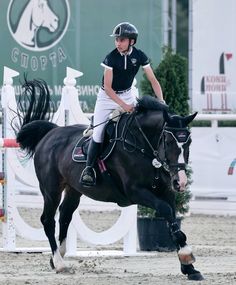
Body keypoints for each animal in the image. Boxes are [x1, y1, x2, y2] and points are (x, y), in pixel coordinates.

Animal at [15, 79, 203, 278]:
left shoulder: (166, 191)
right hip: (51, 189)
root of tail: (50, 134)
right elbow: (165, 210)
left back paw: (58, 256)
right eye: (168, 142)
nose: (180, 181)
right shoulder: (136, 192)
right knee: (48, 220)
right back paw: (59, 263)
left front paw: (189, 267)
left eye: (189, 142)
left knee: (65, 215)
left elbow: (173, 220)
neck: (144, 146)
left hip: (74, 189)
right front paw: (187, 256)